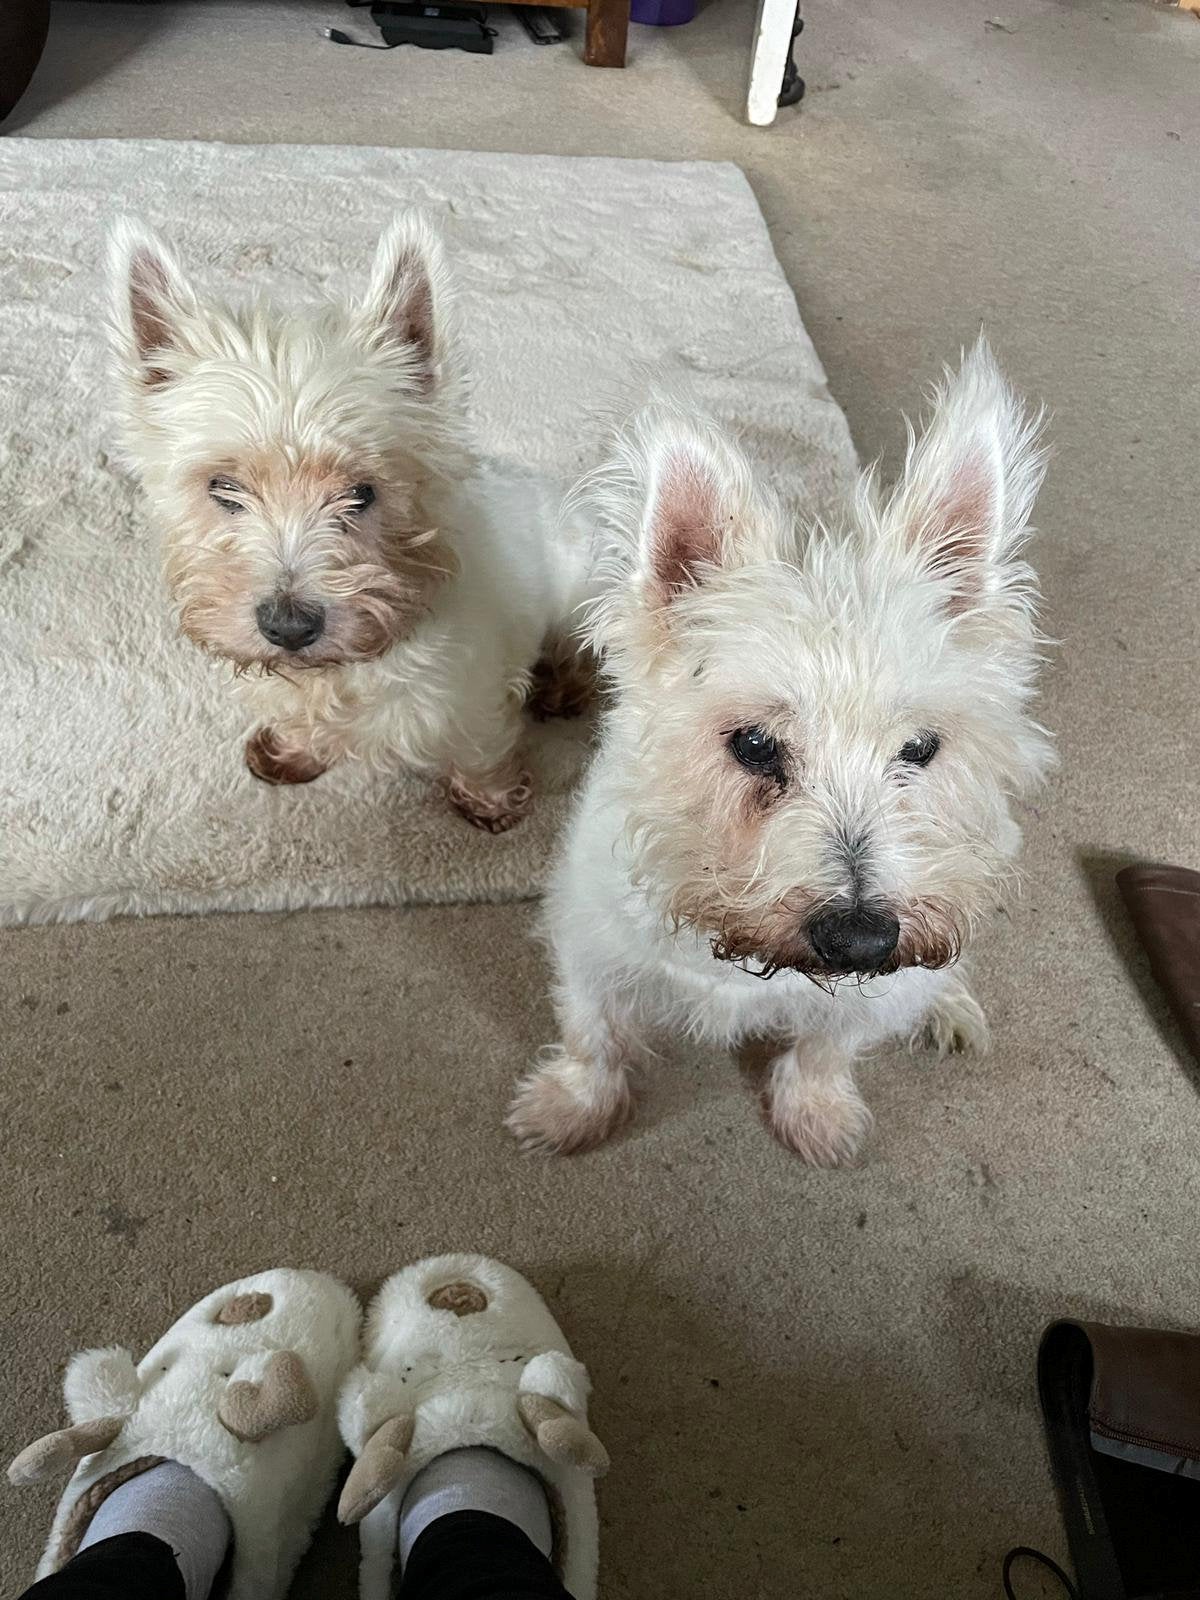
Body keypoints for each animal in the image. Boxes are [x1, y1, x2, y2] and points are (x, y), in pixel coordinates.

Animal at [110, 214, 588, 832]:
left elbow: (482, 750)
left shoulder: (475, 692)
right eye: (222, 489)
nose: (289, 627)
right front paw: (292, 753)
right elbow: (302, 721)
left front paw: (491, 805)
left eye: (361, 493)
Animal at [512, 340, 1056, 1164]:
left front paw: (818, 1117)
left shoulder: (871, 992)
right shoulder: (589, 945)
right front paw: (569, 1110)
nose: (862, 940)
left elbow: (829, 1047)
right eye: (754, 745)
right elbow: (593, 1035)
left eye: (920, 747)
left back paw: (950, 1004)